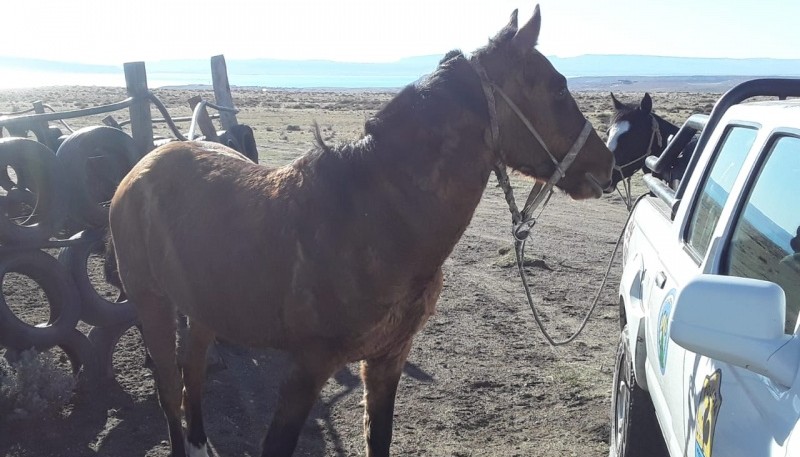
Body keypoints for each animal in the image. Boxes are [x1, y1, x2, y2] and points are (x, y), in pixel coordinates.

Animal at [109, 5, 616, 454]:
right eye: (557, 88)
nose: (607, 165)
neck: (375, 221)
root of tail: (143, 165)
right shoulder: (308, 366)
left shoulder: (388, 359)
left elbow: (379, 438)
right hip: (152, 304)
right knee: (170, 391)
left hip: (202, 309)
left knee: (192, 375)